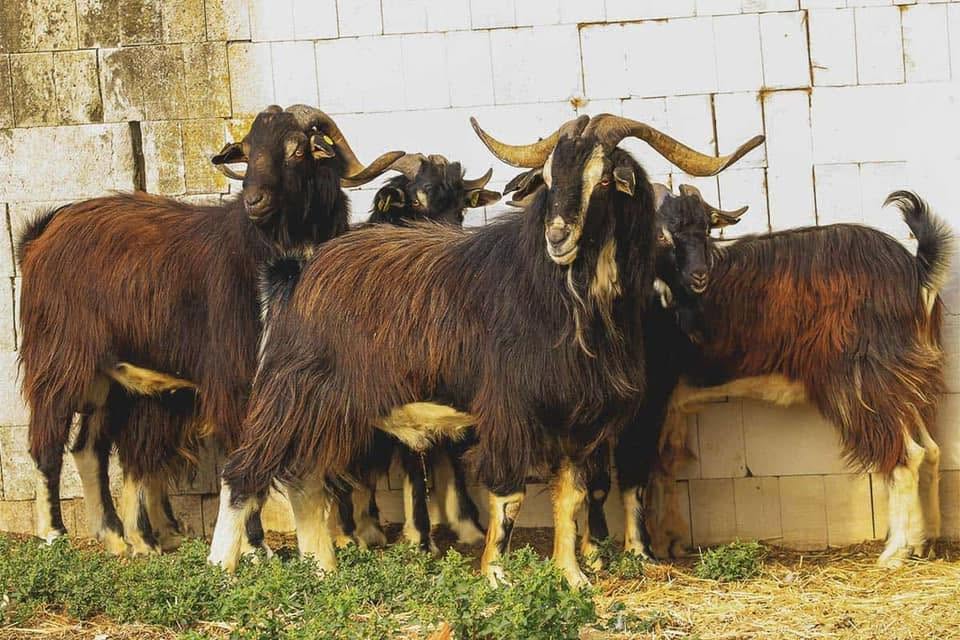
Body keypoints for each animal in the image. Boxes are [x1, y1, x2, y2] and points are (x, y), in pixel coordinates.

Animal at [17, 104, 403, 555]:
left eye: (297, 149)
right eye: (249, 152)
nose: (254, 200)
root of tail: (41, 236)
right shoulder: (236, 376)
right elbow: (244, 456)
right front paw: (255, 548)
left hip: (110, 380)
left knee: (88, 449)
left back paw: (119, 541)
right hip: (59, 358)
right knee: (47, 442)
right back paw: (54, 533)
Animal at [207, 113, 763, 586]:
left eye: (604, 179)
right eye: (549, 176)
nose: (557, 235)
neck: (558, 293)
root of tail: (293, 275)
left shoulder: (576, 420)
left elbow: (572, 496)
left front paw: (573, 577)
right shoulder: (511, 409)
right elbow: (510, 495)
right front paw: (496, 574)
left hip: (333, 409)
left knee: (304, 478)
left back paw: (322, 569)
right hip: (292, 393)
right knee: (242, 473)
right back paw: (220, 571)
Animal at [585, 190, 953, 567]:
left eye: (706, 230)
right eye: (663, 235)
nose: (698, 277)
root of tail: (916, 270)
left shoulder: (648, 399)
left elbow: (631, 469)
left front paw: (637, 551)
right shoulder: (671, 406)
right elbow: (663, 466)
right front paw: (667, 542)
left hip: (865, 380)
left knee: (906, 456)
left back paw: (895, 552)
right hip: (906, 380)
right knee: (930, 449)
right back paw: (925, 542)